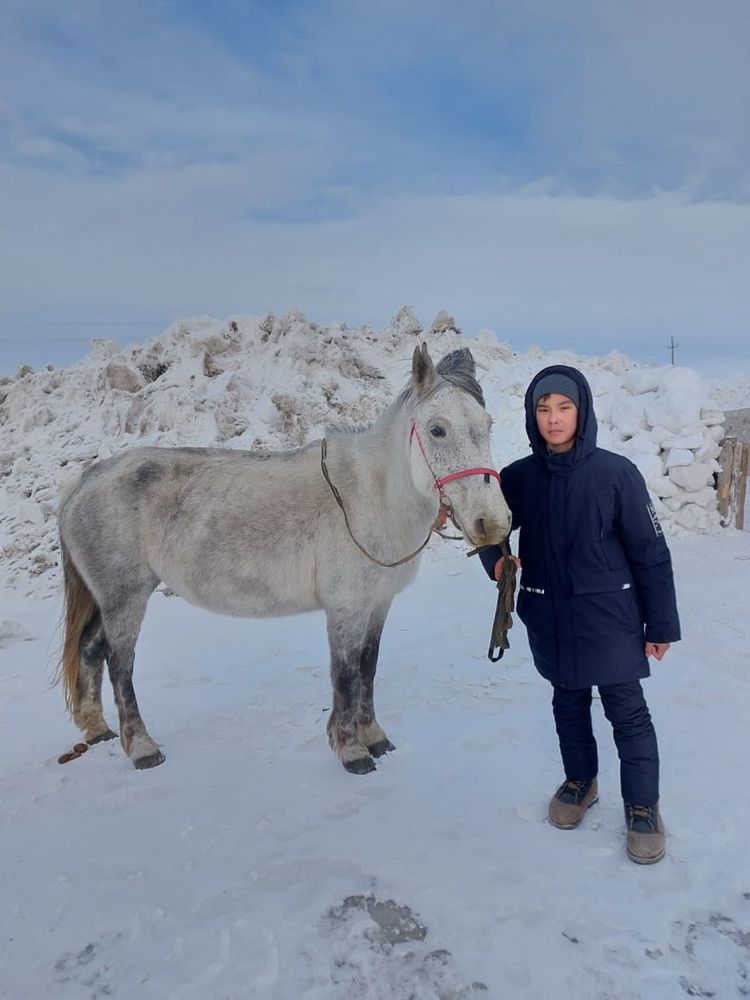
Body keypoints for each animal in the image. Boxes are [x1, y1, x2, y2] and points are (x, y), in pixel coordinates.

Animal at [58, 348, 516, 776]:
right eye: (437, 429)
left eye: (487, 426)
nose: (492, 523)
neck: (369, 498)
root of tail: (85, 482)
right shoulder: (346, 608)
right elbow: (346, 674)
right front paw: (351, 750)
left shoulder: (378, 603)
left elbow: (368, 667)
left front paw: (375, 737)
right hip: (126, 598)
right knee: (119, 664)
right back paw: (142, 748)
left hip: (110, 598)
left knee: (90, 650)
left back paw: (97, 730)